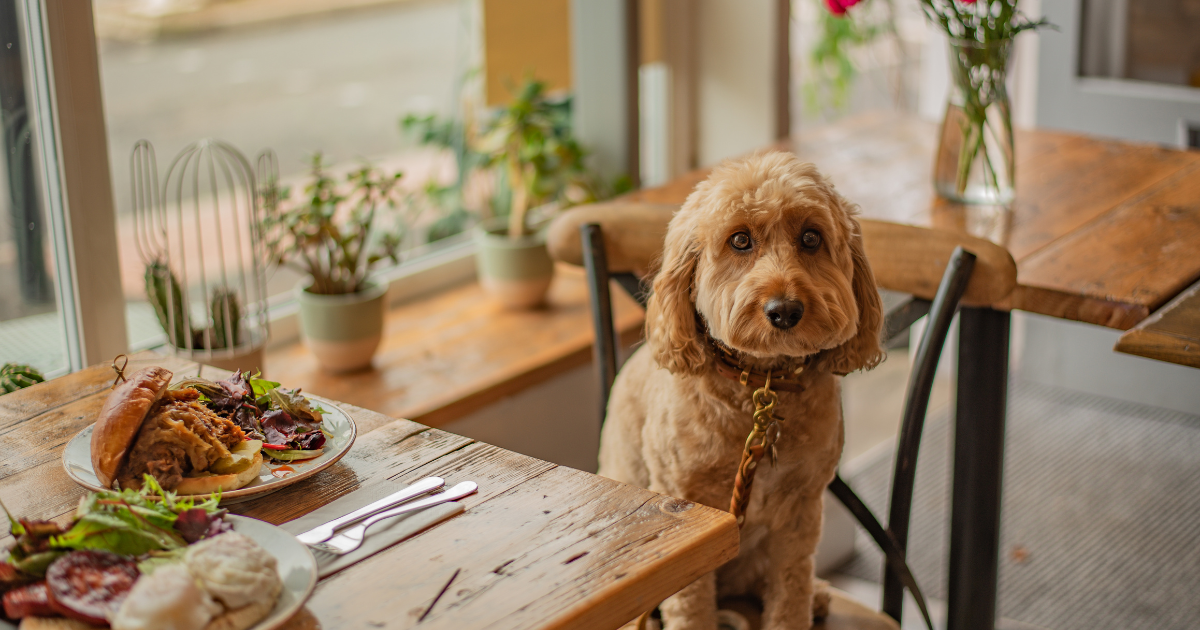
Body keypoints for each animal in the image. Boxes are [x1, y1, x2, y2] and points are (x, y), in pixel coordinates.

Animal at [597, 150, 883, 624]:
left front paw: (797, 609)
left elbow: (789, 592)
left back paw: (817, 597)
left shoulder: (800, 510)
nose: (784, 310)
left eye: (811, 237)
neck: (760, 388)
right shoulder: (688, 507)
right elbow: (691, 605)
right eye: (740, 241)